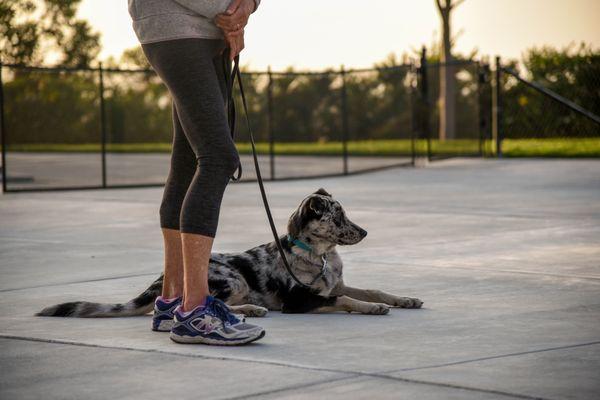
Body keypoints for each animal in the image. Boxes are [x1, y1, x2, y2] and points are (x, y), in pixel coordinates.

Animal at [36, 188, 422, 318]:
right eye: (338, 215)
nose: (365, 232)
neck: (319, 255)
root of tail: (160, 280)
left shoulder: (336, 284)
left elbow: (368, 289)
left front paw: (404, 298)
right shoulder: (300, 300)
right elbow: (345, 300)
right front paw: (373, 308)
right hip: (233, 279)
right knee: (193, 304)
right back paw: (251, 310)